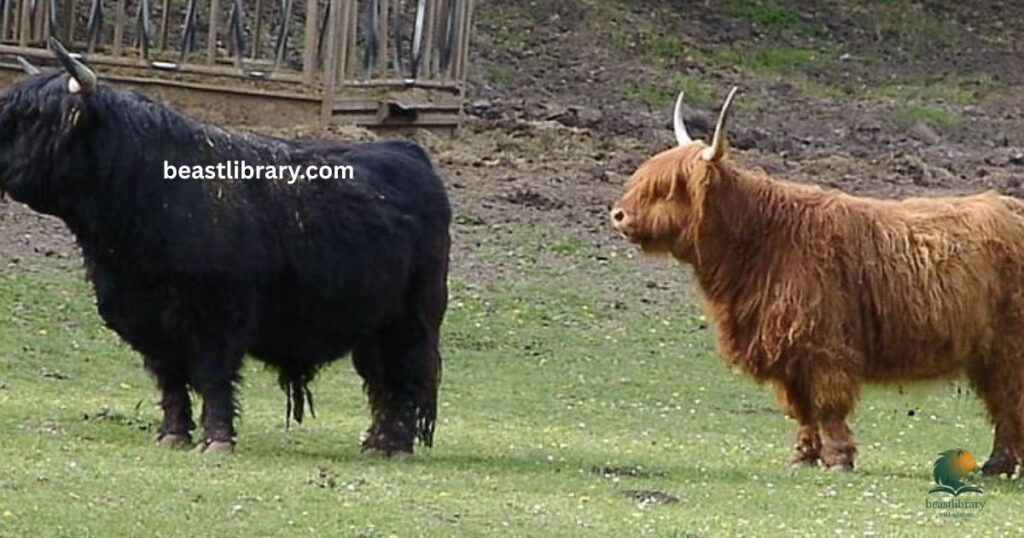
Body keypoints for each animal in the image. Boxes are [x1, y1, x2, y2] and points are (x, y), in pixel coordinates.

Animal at [0, 40, 451, 456]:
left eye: (36, 119)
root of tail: (407, 151)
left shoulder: (217, 317)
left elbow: (213, 377)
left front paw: (216, 439)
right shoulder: (146, 319)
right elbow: (171, 379)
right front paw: (173, 434)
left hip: (411, 318)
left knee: (403, 377)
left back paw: (395, 445)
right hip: (374, 323)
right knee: (380, 380)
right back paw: (375, 441)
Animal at [611, 86, 1024, 474]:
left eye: (667, 188)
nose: (617, 214)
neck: (761, 238)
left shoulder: (824, 345)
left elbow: (827, 406)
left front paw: (839, 457)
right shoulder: (786, 349)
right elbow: (801, 409)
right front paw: (803, 456)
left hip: (1008, 348)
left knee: (1009, 401)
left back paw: (998, 466)